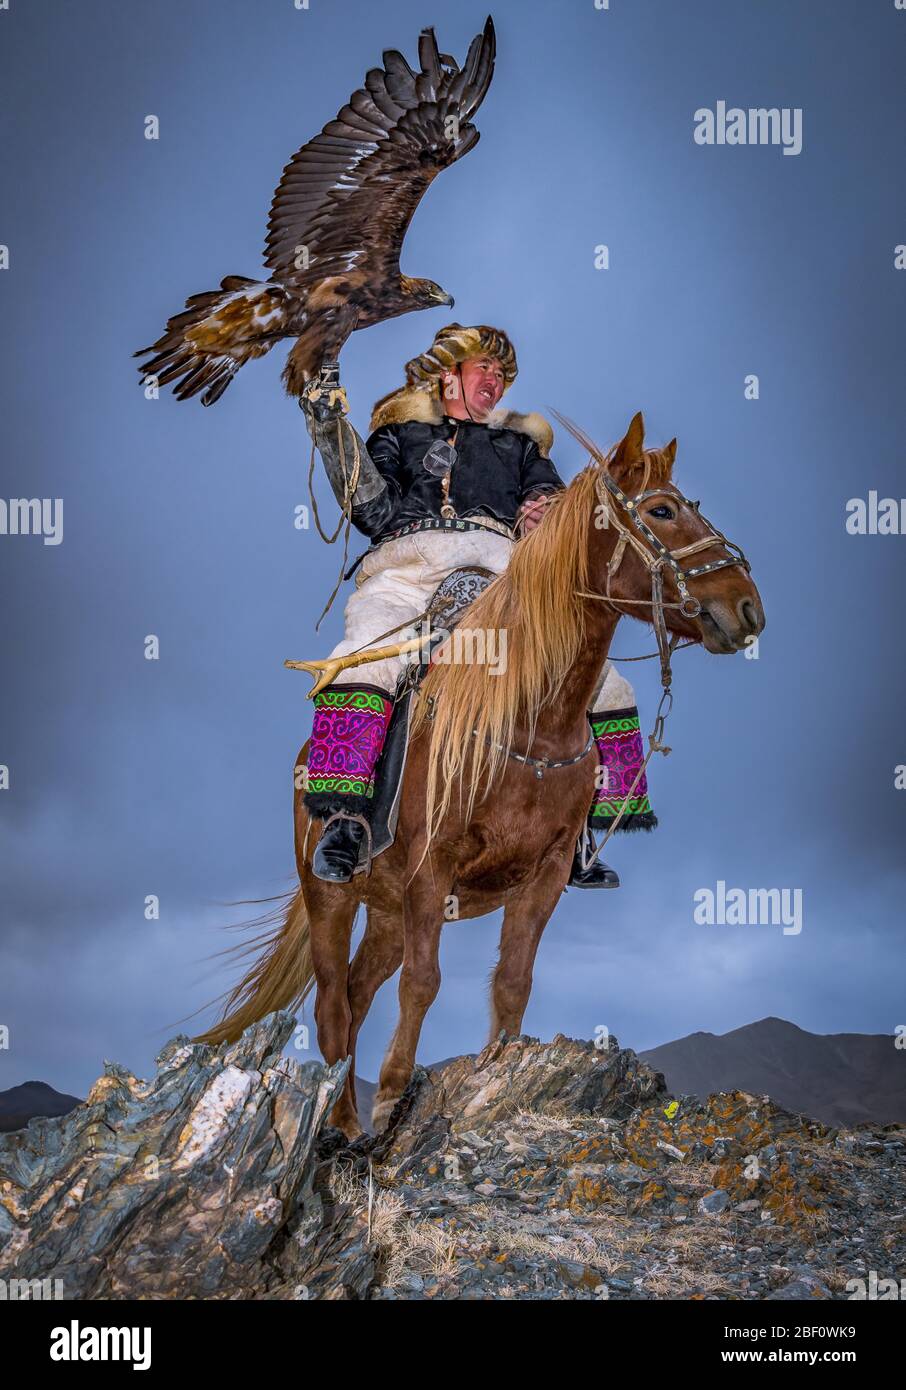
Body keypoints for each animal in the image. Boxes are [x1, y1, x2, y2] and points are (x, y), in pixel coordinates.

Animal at [193, 411, 767, 1139]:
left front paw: (494, 1075)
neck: (527, 717)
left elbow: (513, 982)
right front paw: (392, 1099)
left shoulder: (543, 874)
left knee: (357, 991)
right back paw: (345, 1124)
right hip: (333, 896)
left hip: (386, 912)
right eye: (661, 511)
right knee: (331, 1003)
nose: (747, 608)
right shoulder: (430, 871)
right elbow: (424, 983)